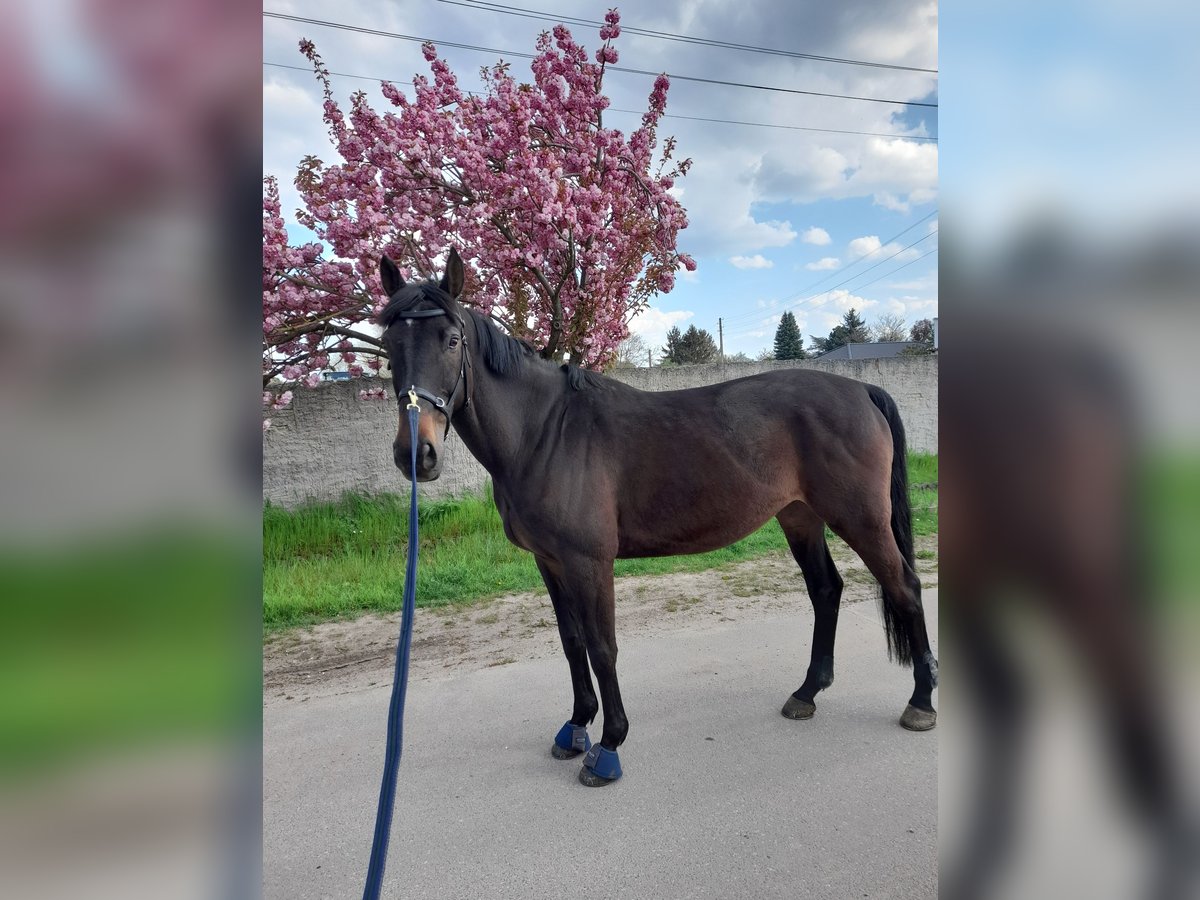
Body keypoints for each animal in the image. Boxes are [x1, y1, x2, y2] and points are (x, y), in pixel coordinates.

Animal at [374, 250, 936, 787]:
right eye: (388, 344)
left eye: (451, 340)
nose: (416, 454)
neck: (545, 433)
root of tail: (861, 391)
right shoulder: (549, 563)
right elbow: (572, 643)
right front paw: (576, 727)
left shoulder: (588, 562)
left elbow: (602, 647)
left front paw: (609, 747)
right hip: (800, 517)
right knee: (826, 590)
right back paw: (806, 693)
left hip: (861, 519)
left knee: (905, 587)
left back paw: (921, 702)